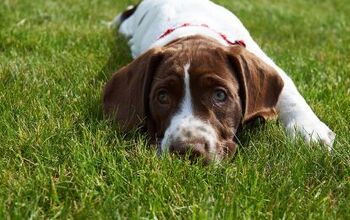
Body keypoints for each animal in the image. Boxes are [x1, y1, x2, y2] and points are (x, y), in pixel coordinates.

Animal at [102, 0, 334, 162]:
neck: (193, 32)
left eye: (220, 95)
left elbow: (289, 95)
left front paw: (310, 131)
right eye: (162, 97)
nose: (188, 151)